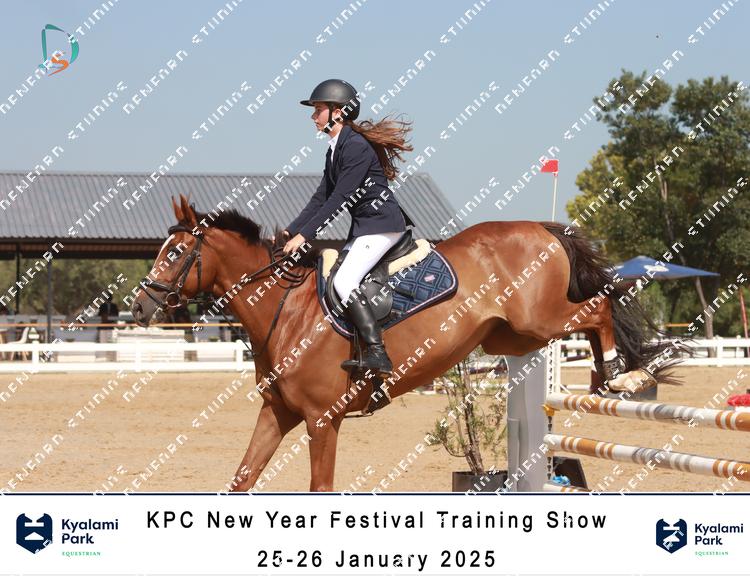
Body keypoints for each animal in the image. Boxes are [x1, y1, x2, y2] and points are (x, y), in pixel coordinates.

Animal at [131, 195, 684, 492]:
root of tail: (541, 227)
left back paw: (622, 374)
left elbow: (320, 488)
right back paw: (610, 375)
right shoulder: (279, 412)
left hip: (540, 318)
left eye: (175, 252)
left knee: (600, 307)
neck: (285, 311)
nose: (139, 307)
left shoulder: (321, 420)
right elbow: (242, 479)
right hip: (515, 334)